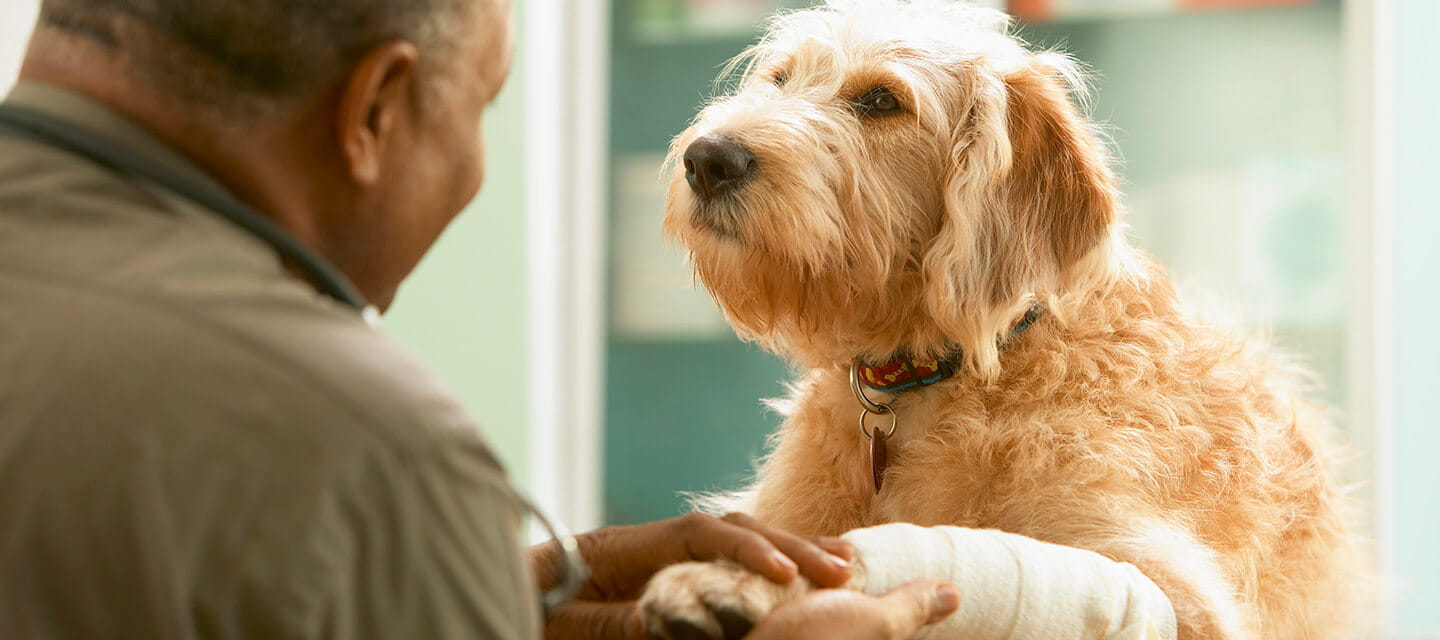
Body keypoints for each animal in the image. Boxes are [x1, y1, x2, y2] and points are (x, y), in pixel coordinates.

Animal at [639, 1, 1359, 640]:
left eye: (881, 100)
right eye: (780, 79)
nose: (708, 159)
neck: (941, 376)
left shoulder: (1162, 589)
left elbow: (877, 555)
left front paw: (737, 580)